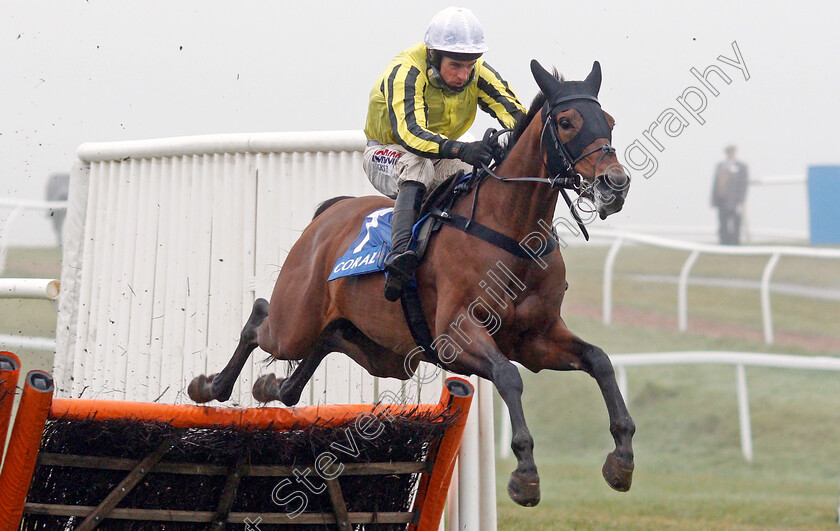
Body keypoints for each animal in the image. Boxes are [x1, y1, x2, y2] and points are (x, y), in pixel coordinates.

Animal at [189, 58, 636, 508]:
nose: (615, 183)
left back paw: (271, 385)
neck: (510, 233)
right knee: (260, 319)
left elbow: (599, 359)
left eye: (610, 122)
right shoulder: (456, 336)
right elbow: (509, 376)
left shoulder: (535, 339)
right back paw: (209, 385)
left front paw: (622, 457)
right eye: (566, 122)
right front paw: (525, 471)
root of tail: (329, 215)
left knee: (323, 344)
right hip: (295, 323)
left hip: (381, 352)